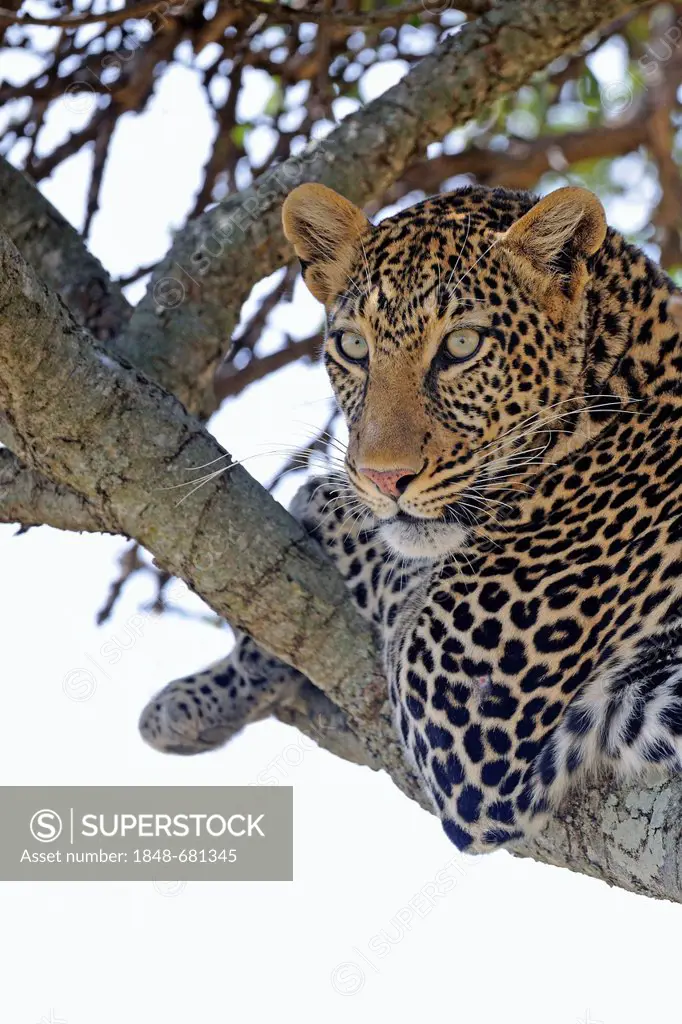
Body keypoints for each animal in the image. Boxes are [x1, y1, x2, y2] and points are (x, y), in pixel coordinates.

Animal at [138, 182, 682, 856]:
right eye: (353, 347)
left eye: (462, 345)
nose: (383, 479)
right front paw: (192, 703)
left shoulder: (460, 710)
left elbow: (360, 534)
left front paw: (319, 505)